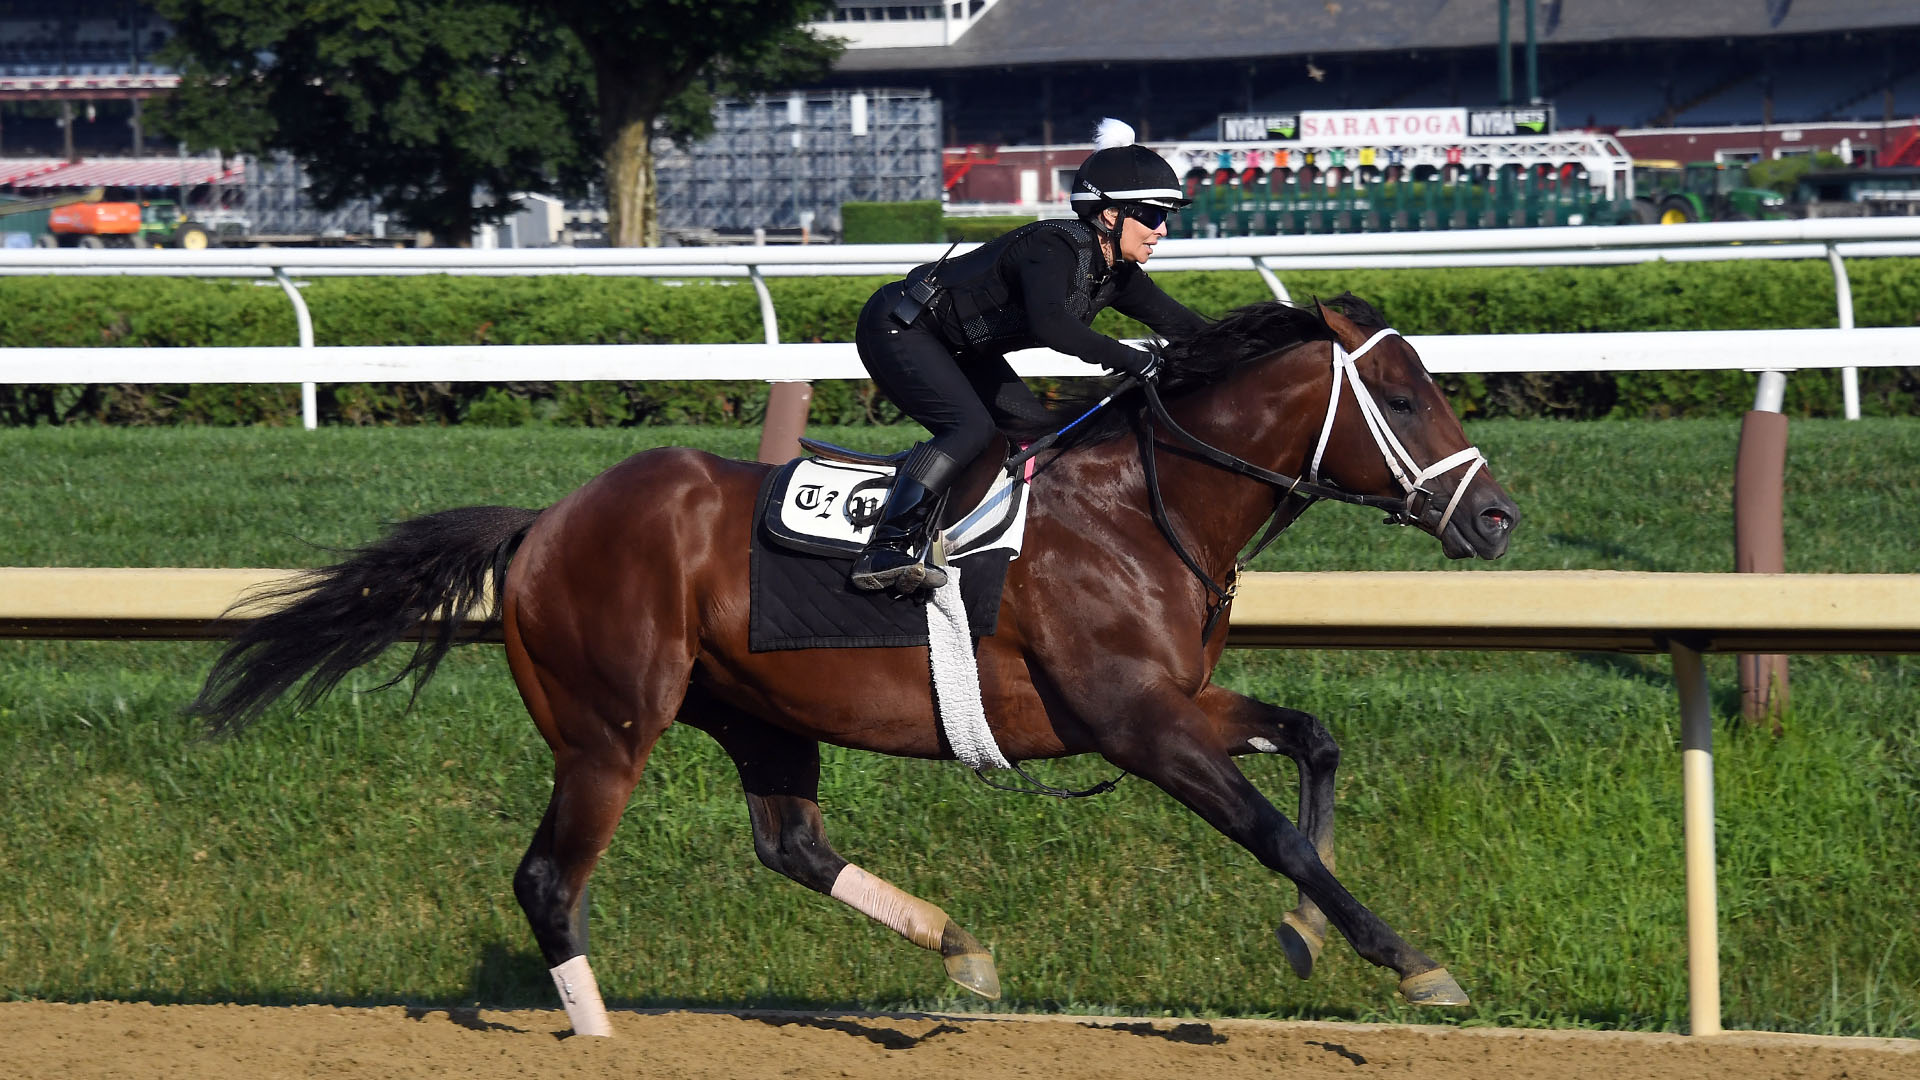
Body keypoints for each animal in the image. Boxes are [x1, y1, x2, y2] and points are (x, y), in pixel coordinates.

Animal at [194, 290, 1512, 1030]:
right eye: (1403, 395)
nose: (1495, 519)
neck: (1147, 508)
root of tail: (545, 524)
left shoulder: (1174, 703)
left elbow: (1315, 744)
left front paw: (1306, 935)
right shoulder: (1139, 724)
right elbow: (1275, 828)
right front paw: (1409, 963)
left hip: (756, 713)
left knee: (789, 845)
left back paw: (961, 948)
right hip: (606, 728)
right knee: (548, 883)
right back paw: (605, 1041)